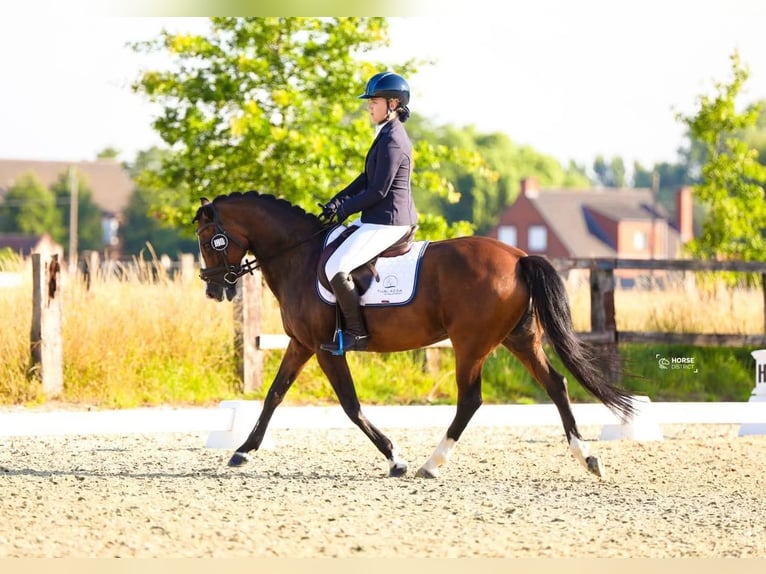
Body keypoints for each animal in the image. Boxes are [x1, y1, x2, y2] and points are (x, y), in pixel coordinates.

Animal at [193, 191, 635, 478]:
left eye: (209, 240)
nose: (213, 289)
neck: (299, 256)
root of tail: (518, 257)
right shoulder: (302, 344)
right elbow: (274, 395)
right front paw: (242, 452)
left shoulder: (326, 349)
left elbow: (351, 406)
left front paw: (395, 458)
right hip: (520, 339)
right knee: (556, 384)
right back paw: (586, 457)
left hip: (471, 344)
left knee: (470, 400)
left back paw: (431, 463)